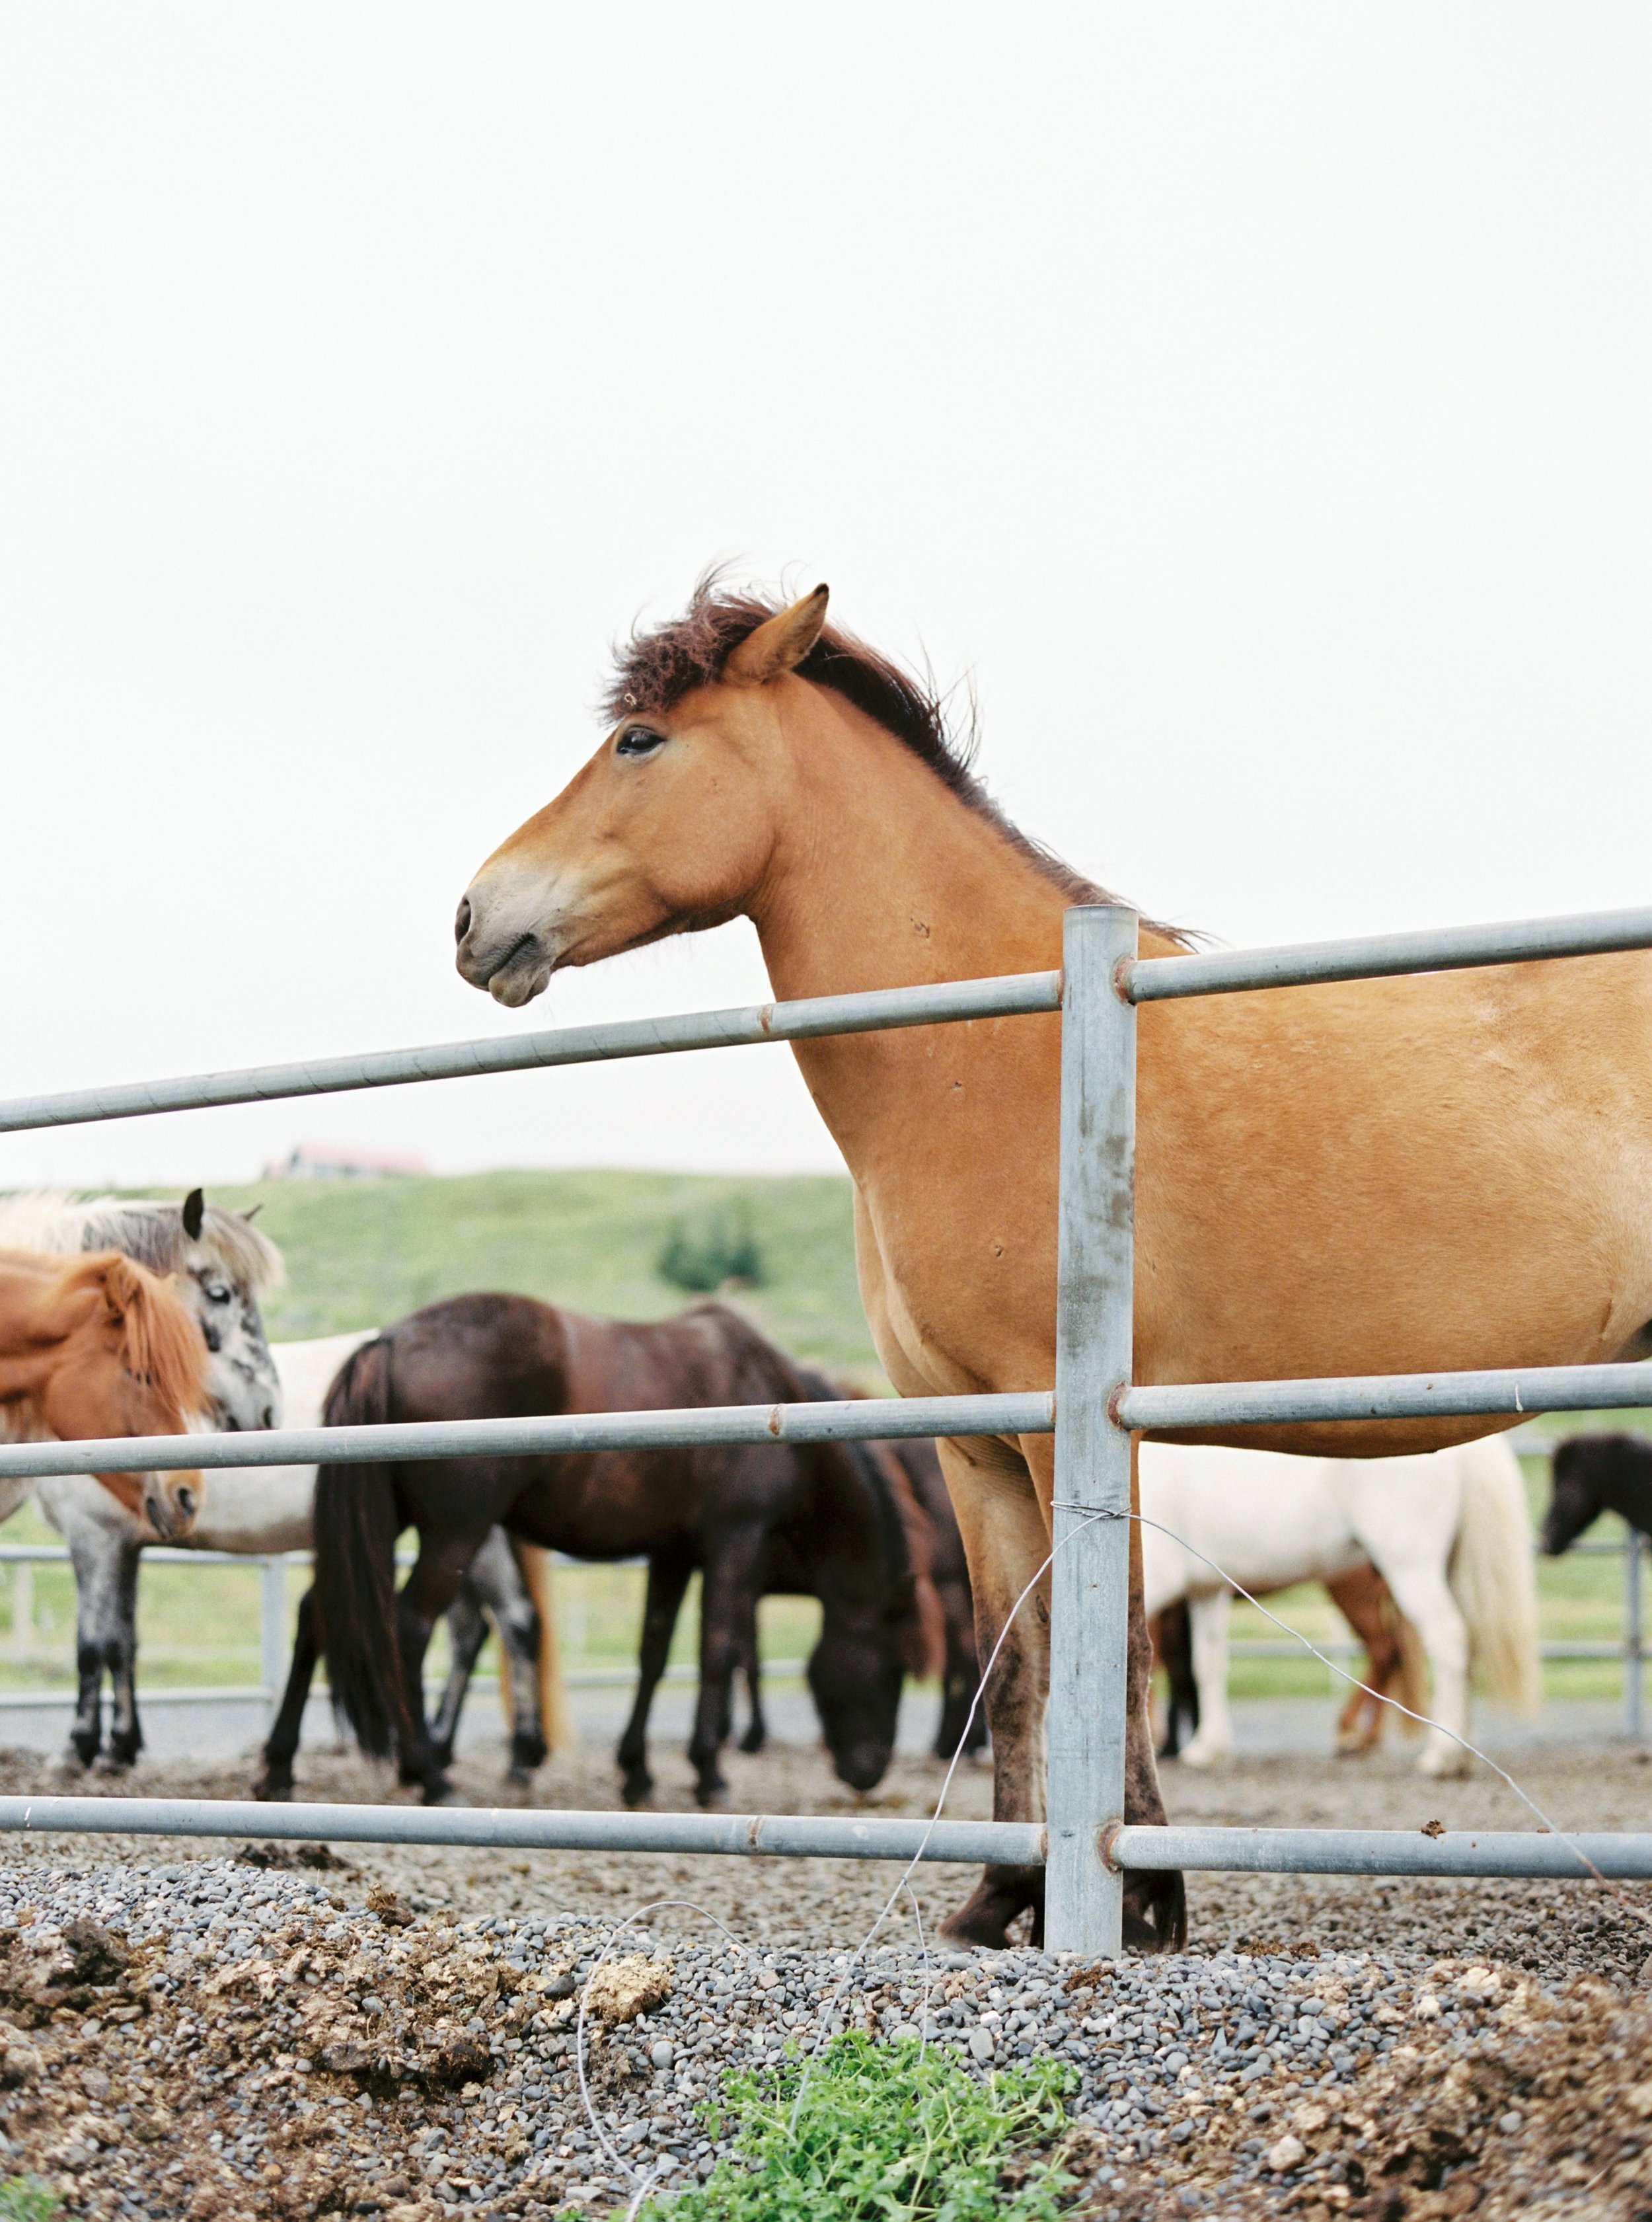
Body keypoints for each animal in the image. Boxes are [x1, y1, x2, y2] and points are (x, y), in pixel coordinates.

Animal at [278, 1297, 937, 1804]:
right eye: (896, 1667)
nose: (869, 1772)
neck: (773, 1402)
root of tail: (389, 1342)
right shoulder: (735, 1542)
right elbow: (718, 1652)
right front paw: (709, 1773)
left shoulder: (674, 1553)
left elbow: (655, 1652)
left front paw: (637, 1771)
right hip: (454, 1535)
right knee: (409, 1628)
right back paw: (429, 1773)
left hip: (381, 1529)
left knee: (318, 1614)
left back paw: (278, 1767)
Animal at [1145, 1431, 1545, 1777]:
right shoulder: (1207, 1589)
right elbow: (1207, 1666)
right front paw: (1208, 1749)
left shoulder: (1159, 1585)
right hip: (1448, 1570)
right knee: (1466, 1647)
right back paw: (1461, 1754)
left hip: (1409, 1567)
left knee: (1446, 1641)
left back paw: (1440, 1756)